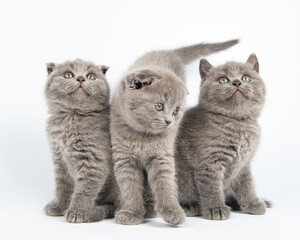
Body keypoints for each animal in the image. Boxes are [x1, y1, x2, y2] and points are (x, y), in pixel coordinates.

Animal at [44, 58, 116, 223]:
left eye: (91, 76)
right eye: (68, 75)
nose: (81, 78)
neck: (72, 116)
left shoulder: (93, 159)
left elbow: (84, 189)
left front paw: (77, 212)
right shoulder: (60, 159)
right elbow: (62, 186)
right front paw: (59, 206)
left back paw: (93, 212)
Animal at [110, 39, 239, 225]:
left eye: (176, 110)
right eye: (159, 106)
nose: (169, 122)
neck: (143, 137)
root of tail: (170, 53)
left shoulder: (162, 155)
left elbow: (164, 183)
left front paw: (172, 211)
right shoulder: (124, 158)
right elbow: (130, 186)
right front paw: (131, 212)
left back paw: (150, 209)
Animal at [175, 54, 268, 219]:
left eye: (246, 78)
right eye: (223, 80)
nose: (237, 82)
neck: (237, 123)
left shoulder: (243, 163)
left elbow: (246, 184)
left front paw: (252, 203)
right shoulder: (209, 162)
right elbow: (211, 187)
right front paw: (215, 208)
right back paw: (188, 205)